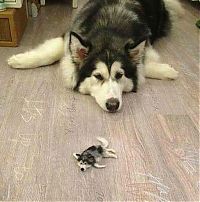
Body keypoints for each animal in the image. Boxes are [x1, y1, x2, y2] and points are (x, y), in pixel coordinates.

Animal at [7, 0, 184, 112]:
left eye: (119, 75)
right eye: (98, 76)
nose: (112, 105)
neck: (108, 32)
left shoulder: (145, 42)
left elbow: (143, 65)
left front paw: (167, 71)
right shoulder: (69, 34)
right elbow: (51, 52)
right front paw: (20, 60)